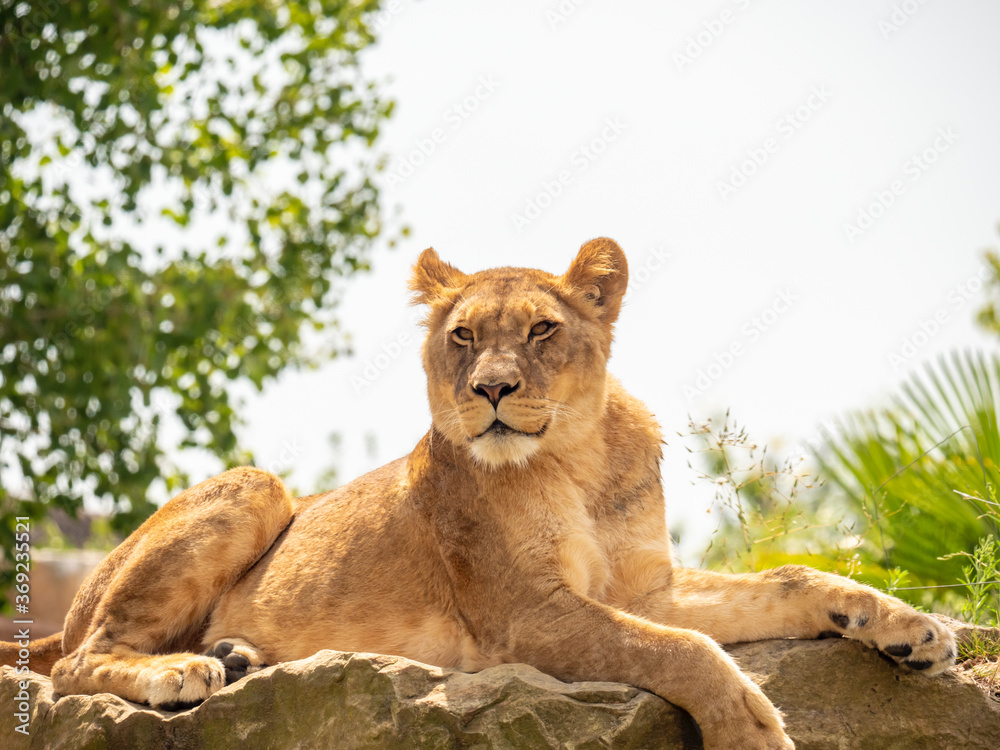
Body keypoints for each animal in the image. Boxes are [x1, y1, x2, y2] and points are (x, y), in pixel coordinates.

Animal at [2, 238, 957, 749]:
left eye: (540, 329)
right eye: (463, 337)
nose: (493, 389)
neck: (578, 459)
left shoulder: (644, 587)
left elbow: (788, 583)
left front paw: (909, 629)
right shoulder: (526, 616)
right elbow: (681, 652)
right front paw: (752, 730)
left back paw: (235, 656)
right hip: (254, 486)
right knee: (82, 662)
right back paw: (184, 672)